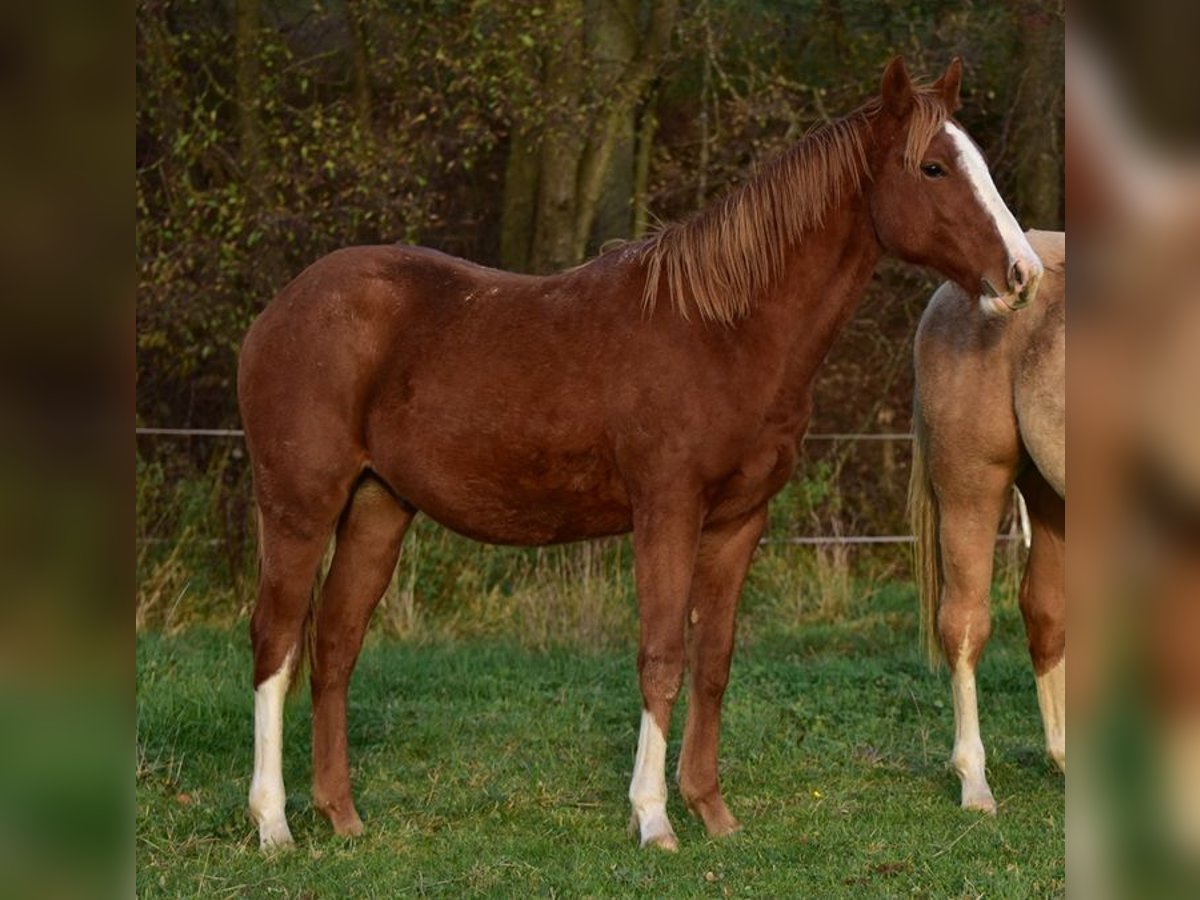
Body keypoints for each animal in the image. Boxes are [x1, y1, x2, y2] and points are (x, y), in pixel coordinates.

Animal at [238, 55, 1043, 852]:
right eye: (933, 167)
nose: (1023, 274)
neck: (725, 331)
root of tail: (278, 311)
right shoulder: (667, 511)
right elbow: (660, 657)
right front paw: (653, 817)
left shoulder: (737, 523)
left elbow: (712, 662)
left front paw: (711, 810)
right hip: (300, 509)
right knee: (275, 643)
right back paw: (274, 824)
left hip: (378, 506)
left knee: (335, 645)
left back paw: (340, 815)